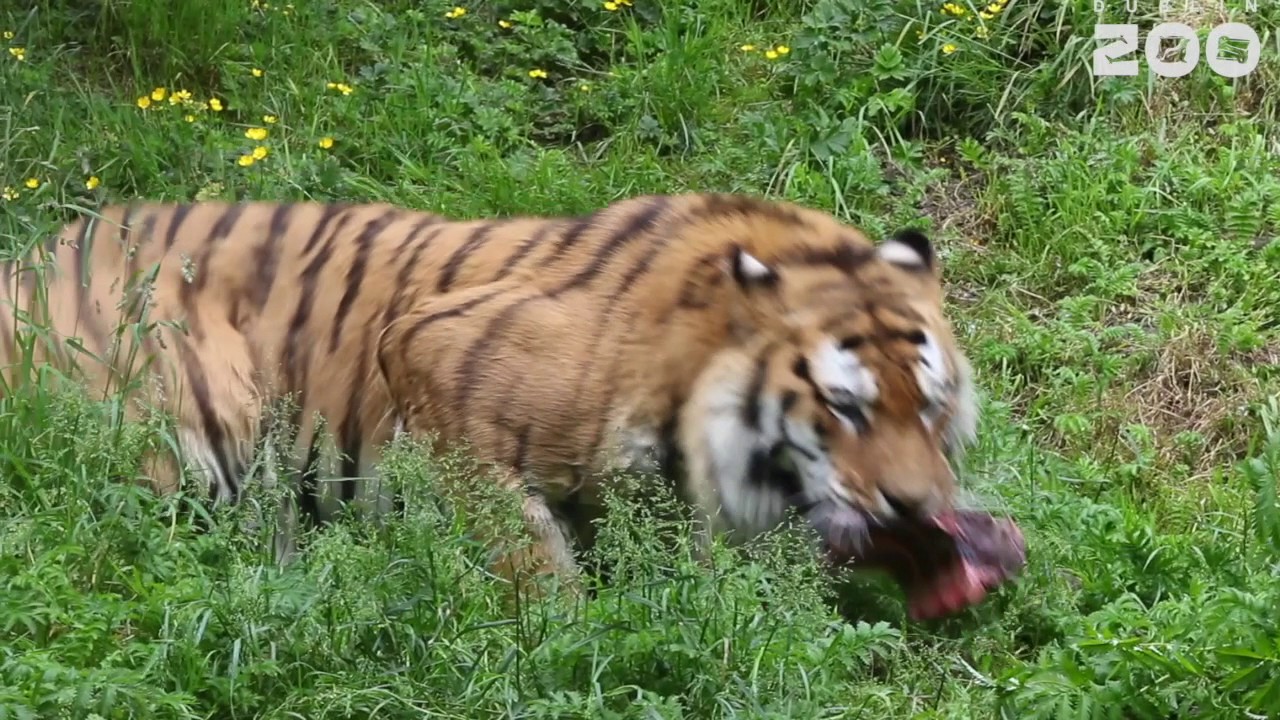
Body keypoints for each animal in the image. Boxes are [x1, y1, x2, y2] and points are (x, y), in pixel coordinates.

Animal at [0, 192, 1025, 620]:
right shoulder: (432, 354)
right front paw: (568, 637)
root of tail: (31, 255)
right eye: (847, 411)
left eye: (930, 410)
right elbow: (528, 556)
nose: (917, 507)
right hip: (203, 412)